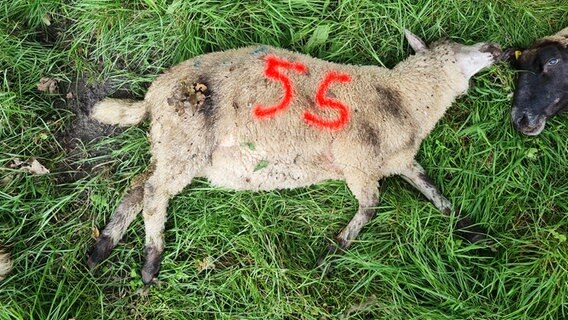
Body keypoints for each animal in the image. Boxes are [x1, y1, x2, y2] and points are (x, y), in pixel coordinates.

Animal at [86, 31, 500, 284]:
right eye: (455, 50)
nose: (495, 48)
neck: (405, 99)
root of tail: (151, 98)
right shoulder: (356, 158)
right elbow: (371, 206)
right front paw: (333, 251)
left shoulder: (399, 161)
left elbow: (435, 192)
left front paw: (474, 233)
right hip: (186, 139)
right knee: (154, 194)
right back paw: (150, 262)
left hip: (169, 143)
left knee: (137, 188)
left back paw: (102, 246)